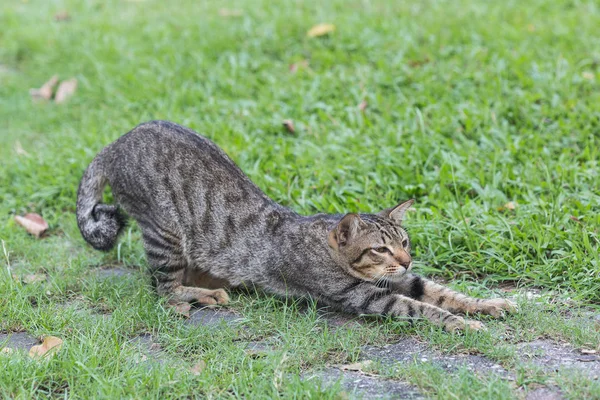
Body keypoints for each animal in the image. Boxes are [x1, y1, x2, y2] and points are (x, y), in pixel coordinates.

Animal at [75, 121, 516, 332]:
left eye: (405, 242)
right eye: (380, 248)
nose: (406, 261)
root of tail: (114, 143)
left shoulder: (399, 279)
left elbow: (440, 292)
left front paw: (488, 304)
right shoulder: (361, 295)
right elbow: (420, 307)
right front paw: (463, 324)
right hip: (165, 231)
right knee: (162, 289)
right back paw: (197, 294)